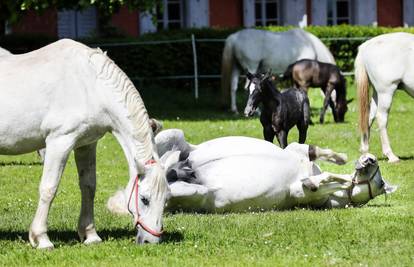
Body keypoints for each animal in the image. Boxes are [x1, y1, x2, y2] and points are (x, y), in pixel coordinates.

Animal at [0, 39, 170, 249]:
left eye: (166, 200)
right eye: (144, 199)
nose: (150, 241)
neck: (90, 85)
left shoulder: (86, 145)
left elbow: (89, 186)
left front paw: (90, 235)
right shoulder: (59, 142)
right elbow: (49, 188)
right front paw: (41, 238)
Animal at [354, 32, 414, 164]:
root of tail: (366, 46)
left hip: (377, 94)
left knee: (369, 117)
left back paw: (365, 150)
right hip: (386, 92)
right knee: (381, 118)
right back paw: (391, 156)